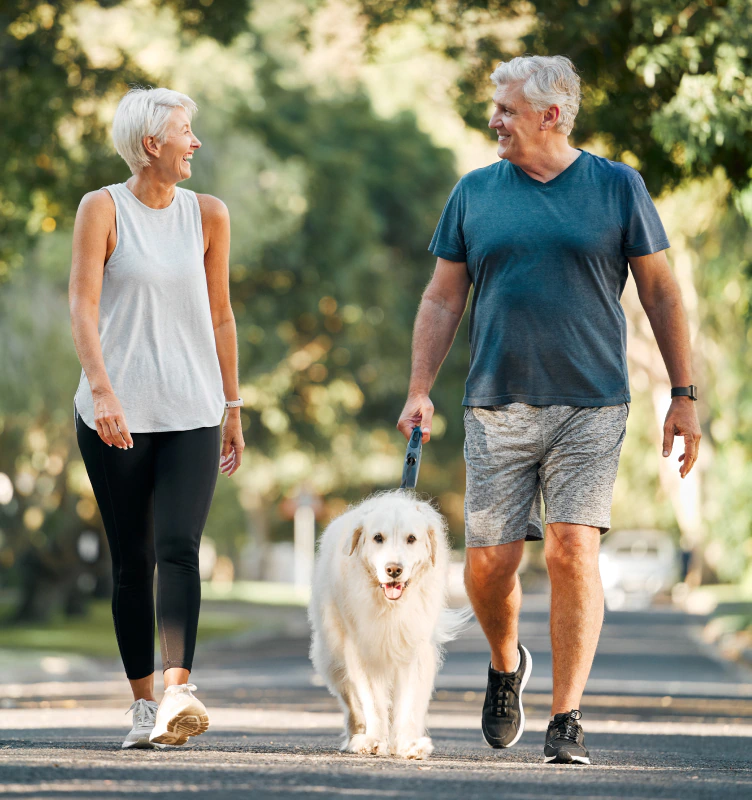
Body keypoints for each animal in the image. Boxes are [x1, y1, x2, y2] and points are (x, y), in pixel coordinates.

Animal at [308, 490, 468, 760]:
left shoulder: (415, 650)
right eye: (378, 538)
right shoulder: (363, 651)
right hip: (331, 657)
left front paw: (409, 744)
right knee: (351, 701)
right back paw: (356, 735)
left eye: (411, 539)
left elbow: (410, 702)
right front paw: (373, 740)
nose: (394, 569)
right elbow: (372, 701)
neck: (390, 607)